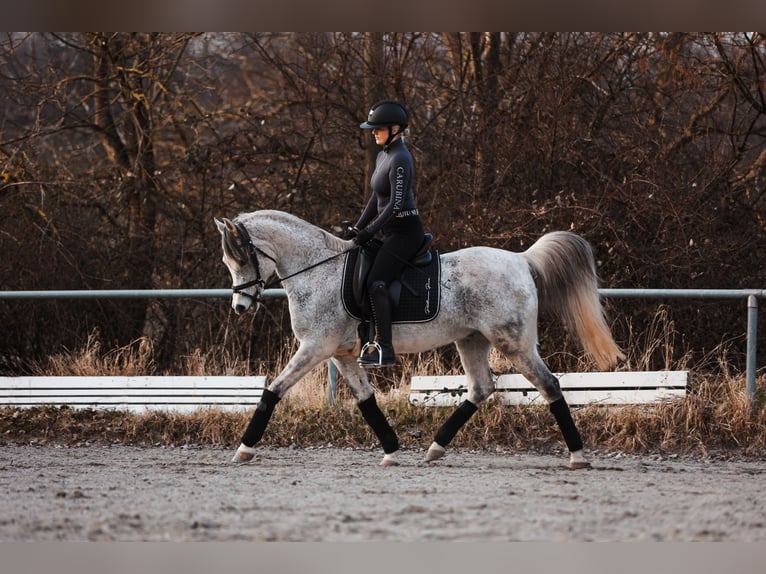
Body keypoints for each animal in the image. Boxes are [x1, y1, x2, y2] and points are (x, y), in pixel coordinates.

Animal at [215, 210, 624, 469]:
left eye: (241, 258)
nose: (239, 306)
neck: (318, 269)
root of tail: (520, 259)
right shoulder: (341, 354)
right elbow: (366, 401)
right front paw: (392, 451)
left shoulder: (315, 347)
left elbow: (273, 391)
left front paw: (243, 449)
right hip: (472, 339)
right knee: (481, 387)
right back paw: (434, 449)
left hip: (514, 343)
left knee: (549, 384)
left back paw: (578, 457)